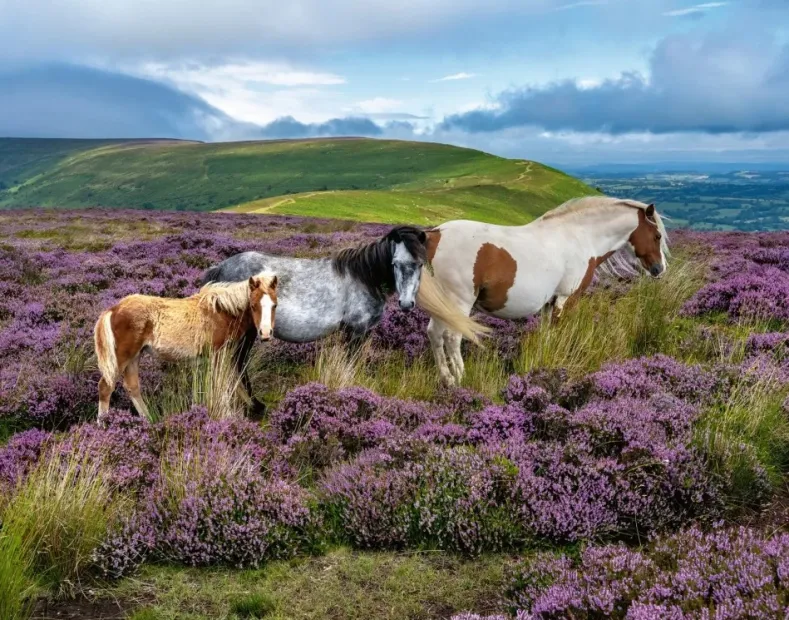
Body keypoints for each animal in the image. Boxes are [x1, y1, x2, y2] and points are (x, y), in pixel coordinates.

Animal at [93, 272, 279, 421]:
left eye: (275, 305)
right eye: (253, 305)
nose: (265, 333)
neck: (222, 312)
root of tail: (113, 309)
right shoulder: (218, 354)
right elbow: (223, 384)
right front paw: (226, 416)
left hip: (135, 356)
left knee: (132, 387)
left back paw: (149, 421)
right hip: (122, 356)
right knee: (106, 387)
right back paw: (103, 424)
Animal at [202, 225, 490, 404]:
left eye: (420, 264)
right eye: (395, 263)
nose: (407, 303)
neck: (364, 277)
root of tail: (221, 268)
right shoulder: (356, 330)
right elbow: (350, 366)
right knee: (238, 364)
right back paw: (254, 406)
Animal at [423, 196, 670, 385]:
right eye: (657, 236)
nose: (660, 269)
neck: (580, 237)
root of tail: (436, 234)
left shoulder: (549, 303)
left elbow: (547, 335)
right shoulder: (566, 298)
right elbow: (559, 331)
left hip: (443, 305)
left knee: (434, 333)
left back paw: (447, 379)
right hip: (459, 303)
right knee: (452, 337)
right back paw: (461, 378)